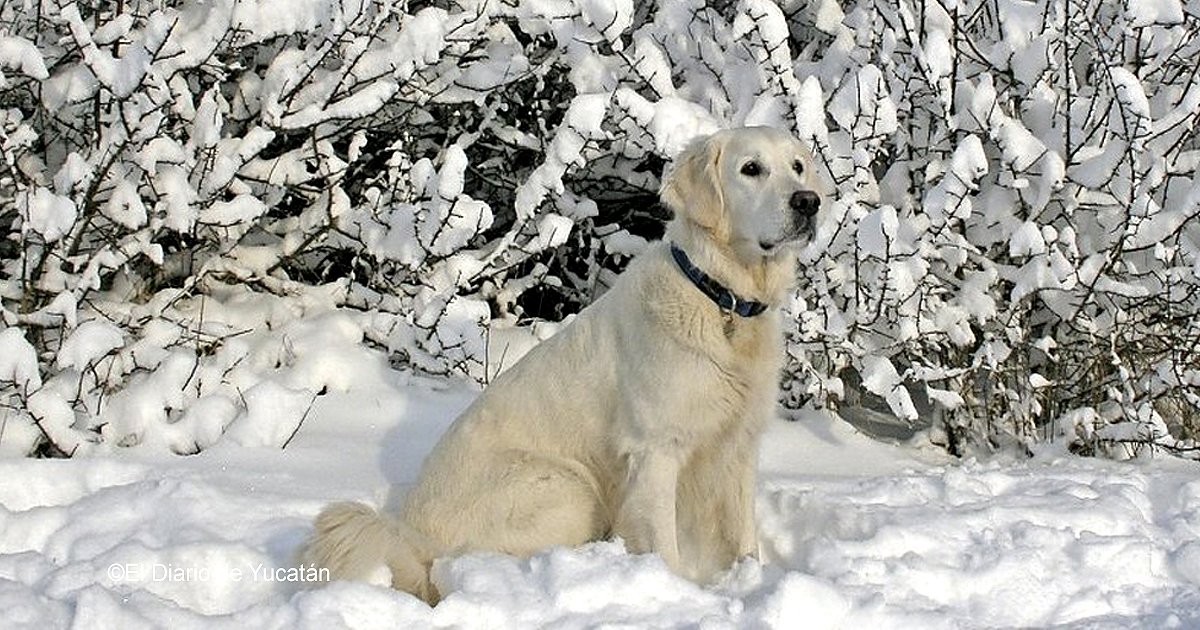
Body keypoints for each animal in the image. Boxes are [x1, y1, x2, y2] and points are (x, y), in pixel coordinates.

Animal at [300, 125, 825, 602]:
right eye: (751, 168)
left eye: (797, 166)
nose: (809, 202)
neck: (723, 299)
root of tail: (415, 542)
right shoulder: (655, 449)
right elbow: (664, 542)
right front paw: (680, 592)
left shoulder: (737, 445)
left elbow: (744, 538)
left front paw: (751, 577)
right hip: (567, 485)